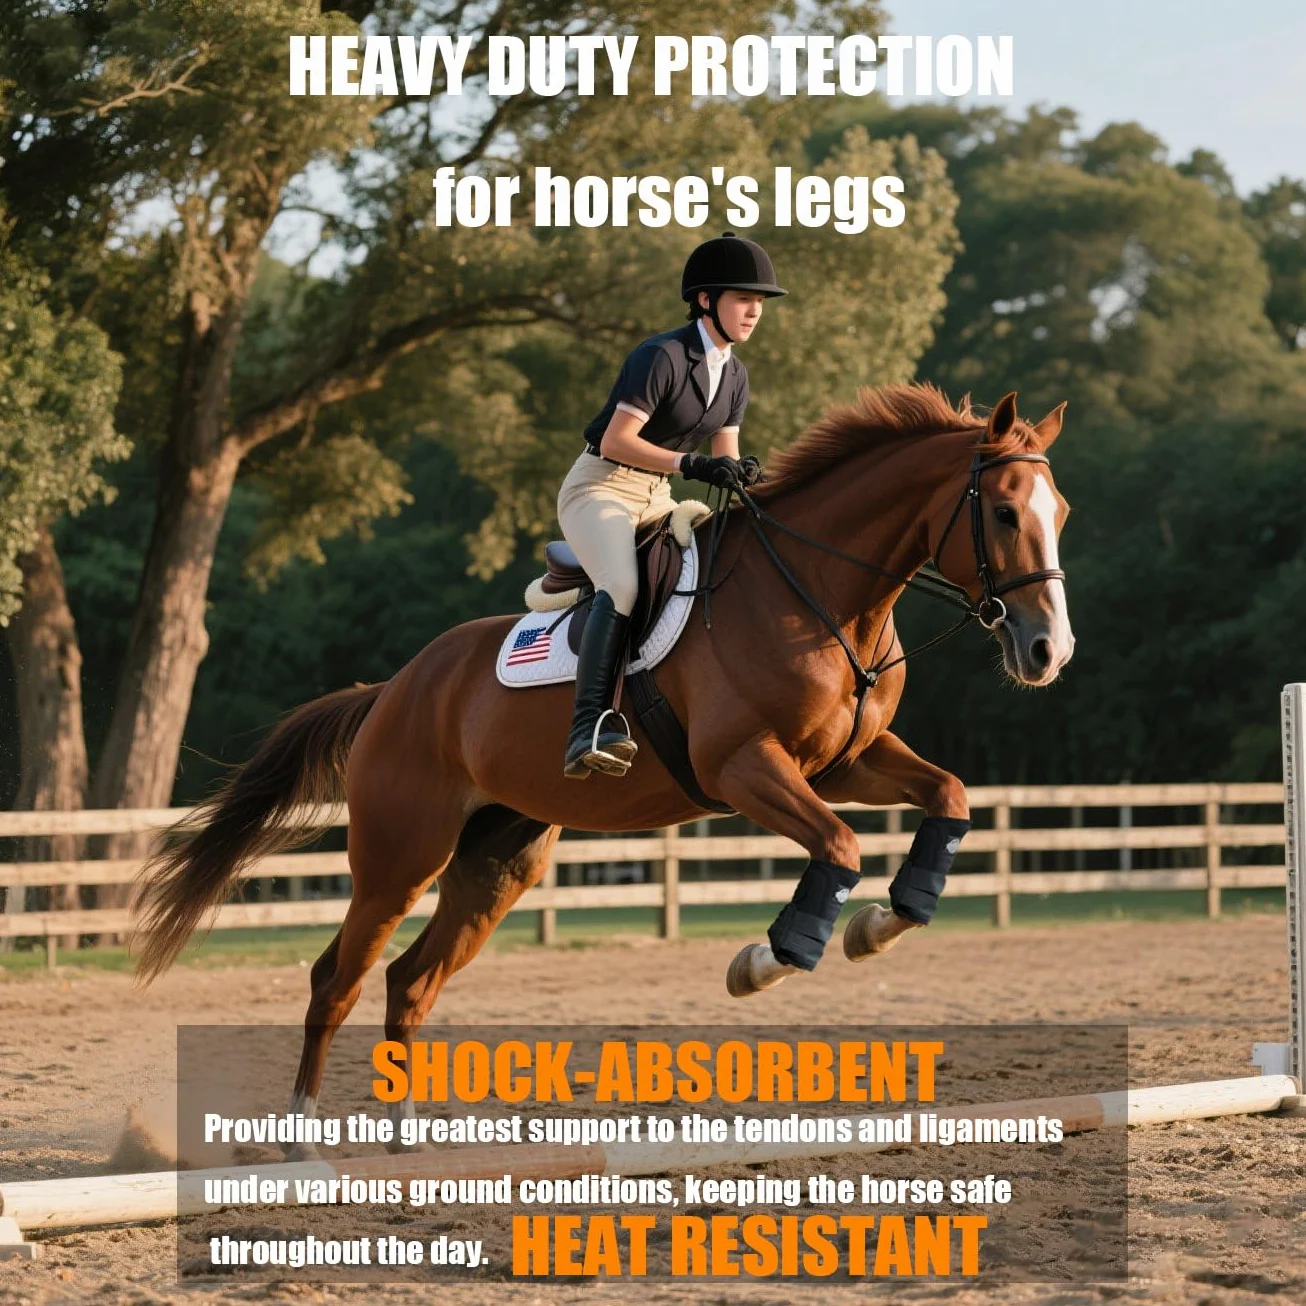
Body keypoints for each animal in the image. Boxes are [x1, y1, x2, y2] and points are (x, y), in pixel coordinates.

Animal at [131, 384, 1072, 1156]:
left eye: (1058, 510)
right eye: (1001, 512)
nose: (1047, 651)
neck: (821, 591)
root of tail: (394, 688)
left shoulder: (846, 761)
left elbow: (948, 798)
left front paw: (881, 924)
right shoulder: (744, 768)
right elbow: (838, 848)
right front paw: (767, 960)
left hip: (498, 862)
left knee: (410, 979)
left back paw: (404, 1134)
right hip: (401, 857)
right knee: (339, 977)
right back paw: (297, 1133)